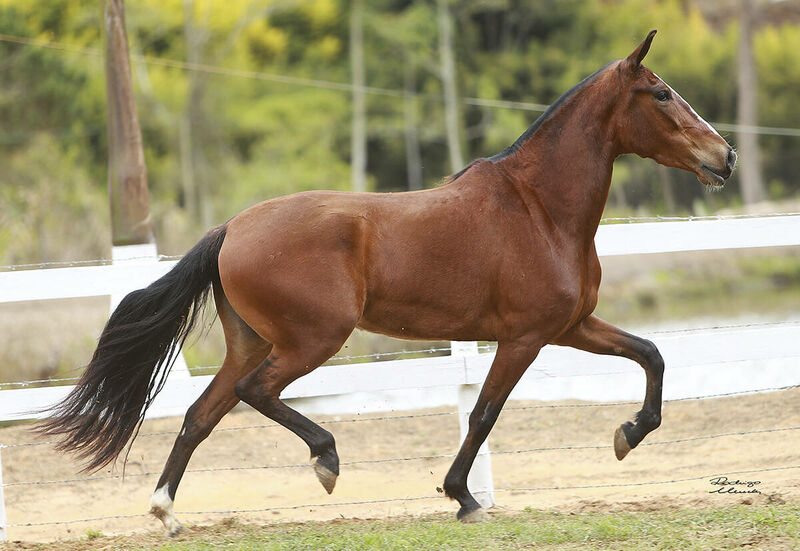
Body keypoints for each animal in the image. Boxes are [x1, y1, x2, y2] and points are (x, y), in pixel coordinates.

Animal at [39, 31, 736, 536]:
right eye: (662, 94)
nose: (724, 156)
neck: (538, 209)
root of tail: (232, 228)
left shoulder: (570, 326)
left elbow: (652, 354)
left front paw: (628, 434)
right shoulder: (525, 338)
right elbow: (484, 412)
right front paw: (463, 498)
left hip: (254, 342)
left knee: (202, 413)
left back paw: (166, 512)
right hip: (312, 340)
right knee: (253, 393)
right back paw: (325, 460)